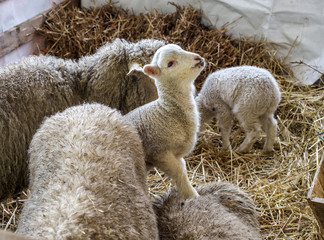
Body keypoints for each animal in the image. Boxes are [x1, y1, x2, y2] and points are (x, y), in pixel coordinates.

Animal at [124, 43, 205, 199]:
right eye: (170, 63)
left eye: (181, 49)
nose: (198, 58)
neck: (167, 112)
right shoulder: (160, 153)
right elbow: (180, 173)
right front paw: (192, 195)